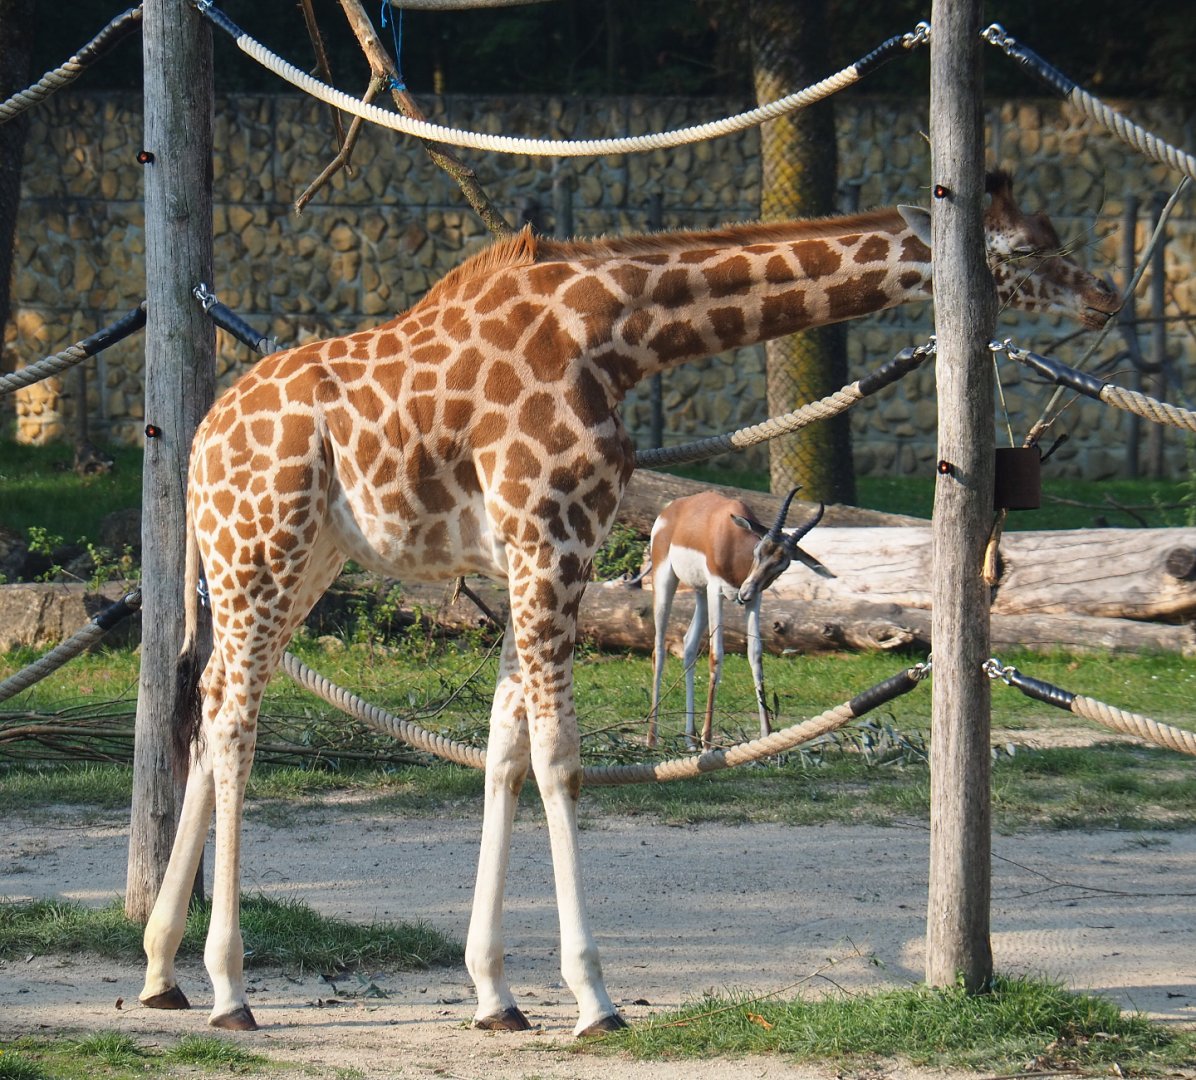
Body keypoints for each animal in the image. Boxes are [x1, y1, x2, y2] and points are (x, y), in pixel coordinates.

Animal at [645, 488, 833, 750]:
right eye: (758, 551)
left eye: (783, 565)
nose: (744, 593)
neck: (733, 545)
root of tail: (671, 509)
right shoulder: (716, 590)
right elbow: (716, 656)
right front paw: (708, 741)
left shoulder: (755, 599)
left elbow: (755, 654)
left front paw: (766, 734)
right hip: (666, 580)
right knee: (659, 651)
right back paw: (652, 736)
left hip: (700, 592)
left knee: (689, 645)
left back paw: (690, 738)